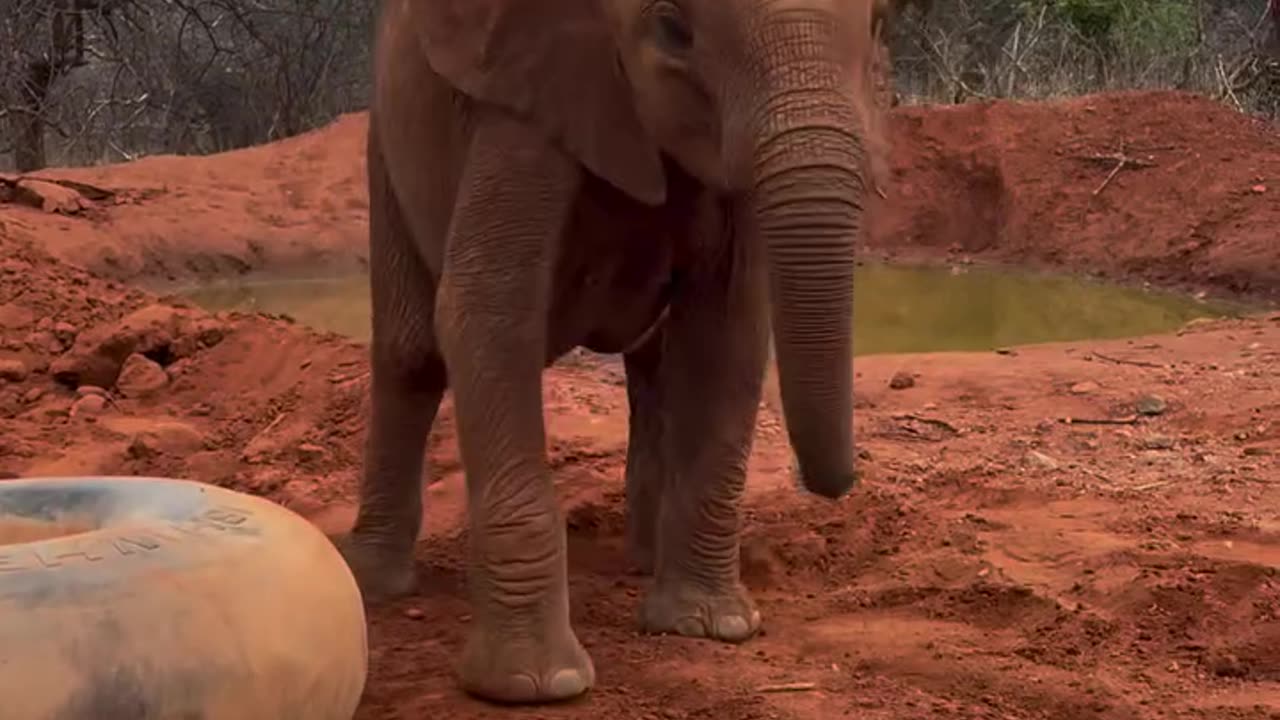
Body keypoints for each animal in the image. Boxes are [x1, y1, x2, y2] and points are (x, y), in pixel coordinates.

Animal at [335, 0, 880, 705]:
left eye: (878, 27)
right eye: (673, 28)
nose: (836, 483)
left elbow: (728, 329)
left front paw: (709, 628)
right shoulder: (526, 96)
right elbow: (485, 309)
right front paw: (537, 685)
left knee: (654, 368)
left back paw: (645, 562)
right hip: (385, 141)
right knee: (413, 353)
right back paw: (375, 583)